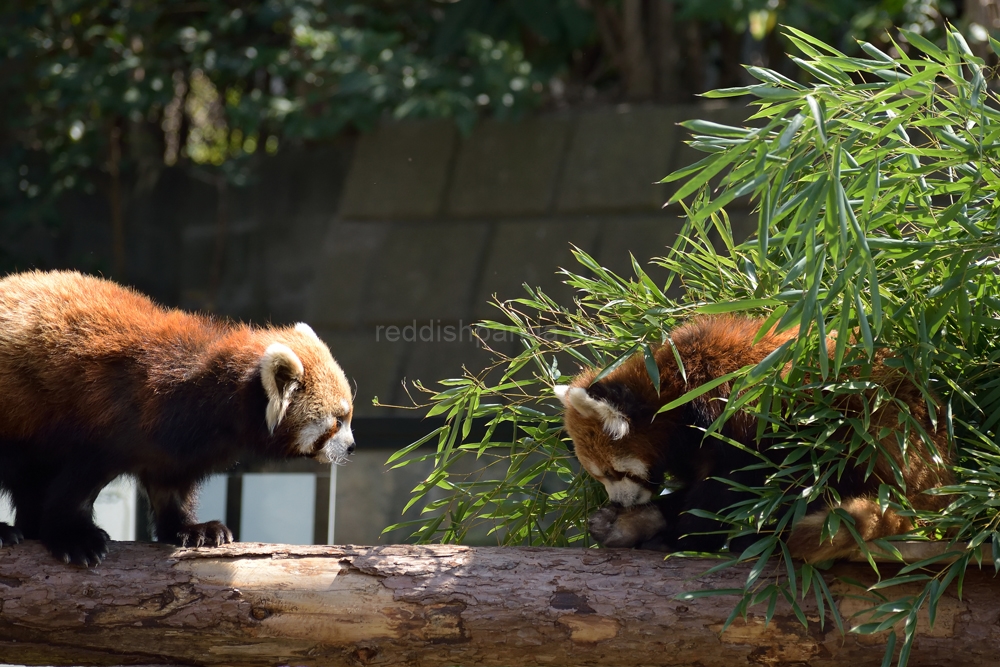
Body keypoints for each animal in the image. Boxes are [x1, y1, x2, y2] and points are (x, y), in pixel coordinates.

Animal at [0, 268, 356, 568]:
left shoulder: (174, 447)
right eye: (338, 421)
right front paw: (75, 538)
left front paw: (193, 529)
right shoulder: (109, 419)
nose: (352, 446)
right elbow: (76, 484)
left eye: (349, 416)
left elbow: (171, 485)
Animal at [556, 318, 952, 564]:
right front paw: (641, 519)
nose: (618, 502)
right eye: (601, 476)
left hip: (859, 430)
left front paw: (681, 536)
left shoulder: (730, 414)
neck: (673, 391)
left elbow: (727, 486)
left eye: (614, 473)